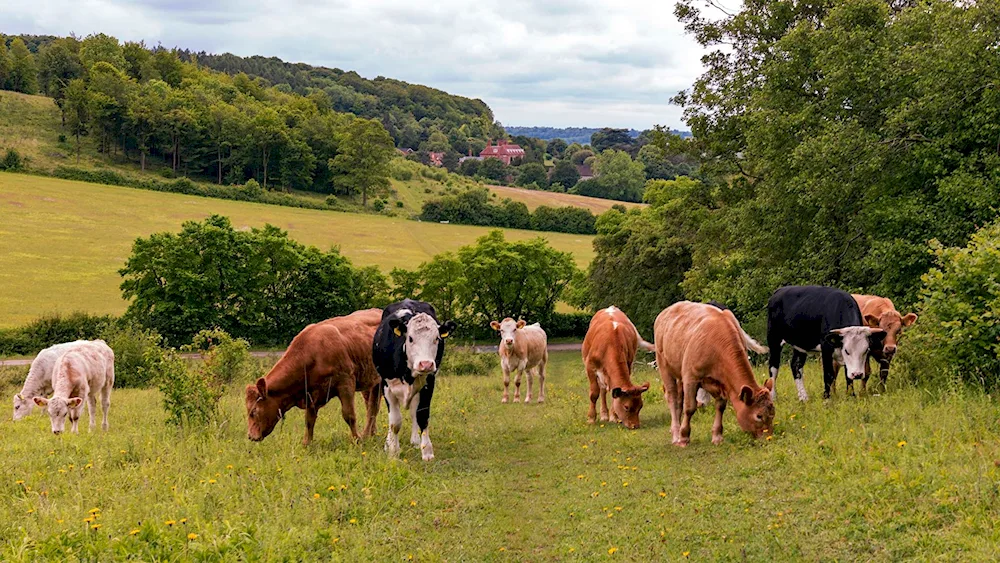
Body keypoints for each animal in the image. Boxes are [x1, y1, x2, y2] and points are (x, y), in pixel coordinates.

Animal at [243, 308, 382, 446]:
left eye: (254, 411)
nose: (250, 436)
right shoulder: (311, 394)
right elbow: (309, 420)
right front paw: (307, 443)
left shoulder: (346, 383)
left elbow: (349, 415)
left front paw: (356, 440)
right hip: (370, 382)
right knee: (371, 406)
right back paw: (371, 434)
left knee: (372, 408)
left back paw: (366, 435)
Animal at [372, 300, 458, 462]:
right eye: (410, 338)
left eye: (436, 338)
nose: (426, 364)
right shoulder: (387, 386)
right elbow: (395, 421)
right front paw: (393, 450)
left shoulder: (428, 384)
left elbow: (422, 416)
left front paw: (427, 451)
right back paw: (389, 443)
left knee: (413, 413)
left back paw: (415, 441)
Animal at [652, 302, 776, 448]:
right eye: (758, 416)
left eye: (773, 413)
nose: (768, 438)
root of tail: (666, 310)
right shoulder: (690, 378)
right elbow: (689, 408)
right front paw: (684, 437)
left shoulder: (722, 383)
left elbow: (720, 407)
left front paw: (717, 436)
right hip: (664, 365)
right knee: (672, 397)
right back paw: (676, 434)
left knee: (679, 400)